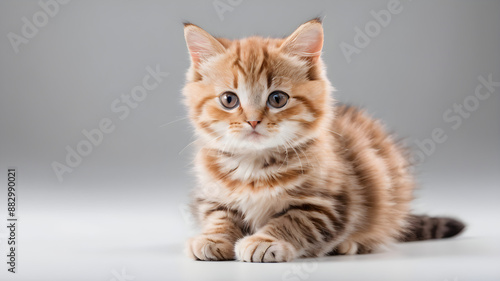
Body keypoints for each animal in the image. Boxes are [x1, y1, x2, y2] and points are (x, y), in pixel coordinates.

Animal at [181, 18, 464, 262]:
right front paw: (213, 238)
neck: (255, 165)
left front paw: (264, 241)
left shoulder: (328, 205)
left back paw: (350, 244)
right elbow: (219, 217)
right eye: (229, 99)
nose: (252, 121)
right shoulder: (211, 196)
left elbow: (292, 221)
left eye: (277, 99)